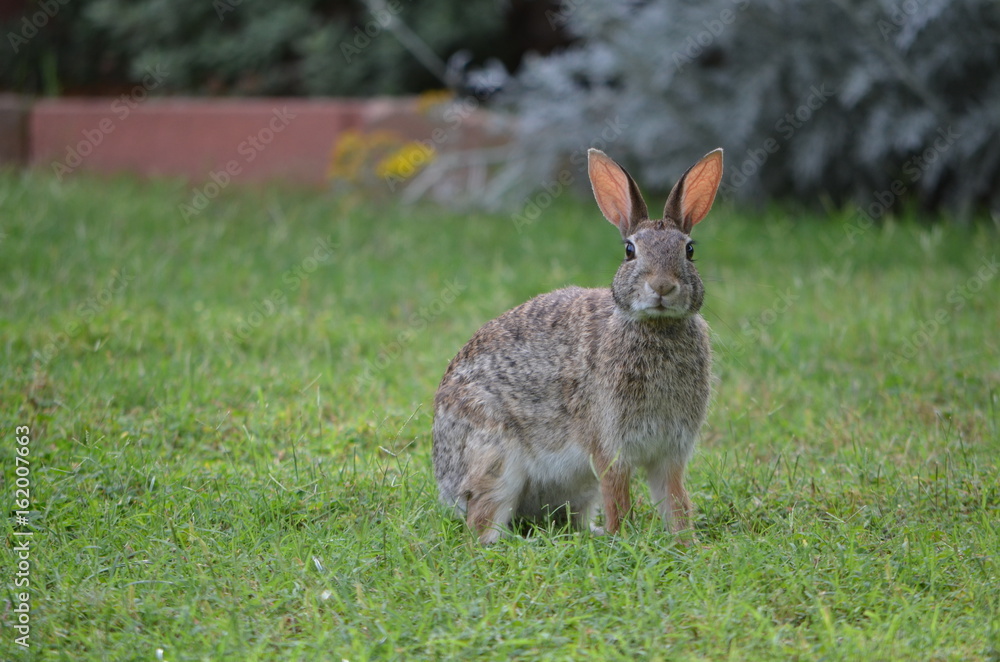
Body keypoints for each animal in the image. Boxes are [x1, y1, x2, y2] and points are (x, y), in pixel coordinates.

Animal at [432, 147, 723, 544]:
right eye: (630, 251)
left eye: (689, 250)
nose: (662, 287)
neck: (656, 326)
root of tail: (446, 483)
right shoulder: (609, 445)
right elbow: (619, 498)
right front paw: (623, 539)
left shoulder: (670, 452)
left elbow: (676, 500)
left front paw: (685, 543)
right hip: (496, 460)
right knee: (483, 524)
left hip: (579, 490)